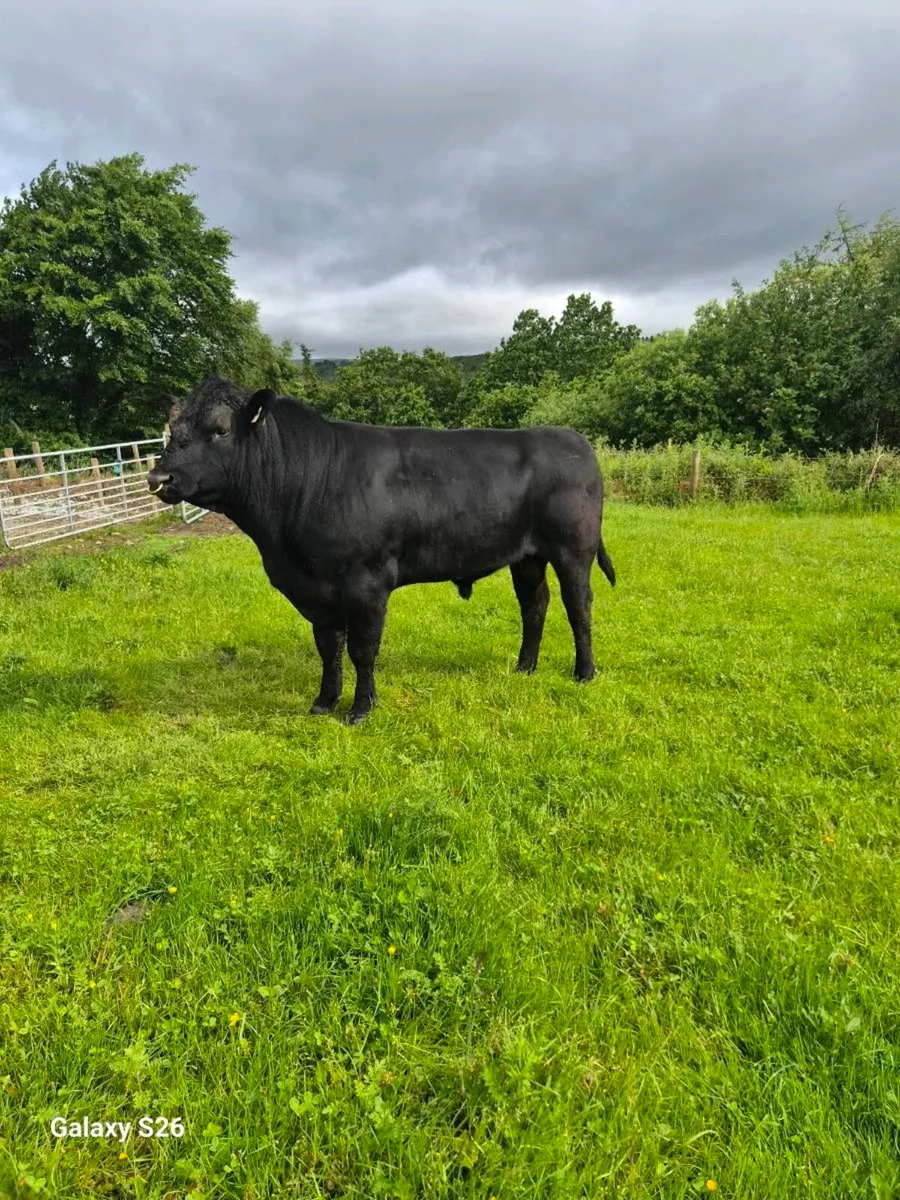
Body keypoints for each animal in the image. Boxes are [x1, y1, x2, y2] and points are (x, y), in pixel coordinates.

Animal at [147, 377, 615, 724]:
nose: (159, 477)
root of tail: (573, 439)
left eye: (221, 430)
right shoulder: (316, 592)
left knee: (578, 605)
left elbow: (362, 649)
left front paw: (360, 709)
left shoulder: (366, 583)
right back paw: (524, 667)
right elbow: (329, 647)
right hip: (527, 556)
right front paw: (324, 702)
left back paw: (584, 672)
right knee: (534, 604)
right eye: (171, 430)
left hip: (574, 548)